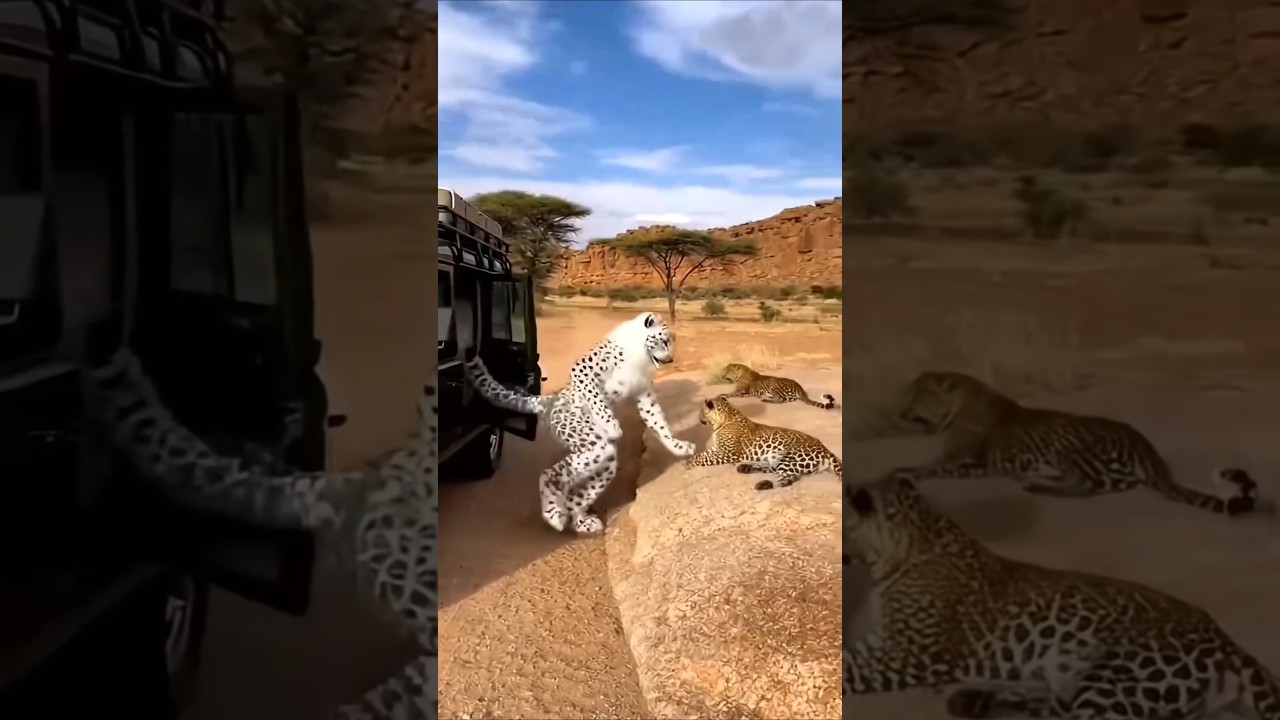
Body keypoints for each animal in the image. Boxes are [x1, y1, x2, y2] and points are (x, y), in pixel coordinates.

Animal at [464, 311, 695, 534]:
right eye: (664, 341)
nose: (670, 359)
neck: (639, 354)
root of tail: (549, 400)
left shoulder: (643, 392)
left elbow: (658, 422)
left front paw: (679, 447)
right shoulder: (583, 369)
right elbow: (596, 398)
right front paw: (612, 426)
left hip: (603, 460)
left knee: (577, 496)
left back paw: (581, 522)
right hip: (589, 441)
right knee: (549, 474)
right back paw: (553, 514)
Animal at [684, 394, 841, 490]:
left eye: (702, 411)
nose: (698, 419)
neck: (724, 418)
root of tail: (825, 448)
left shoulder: (726, 453)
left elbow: (702, 458)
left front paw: (687, 463)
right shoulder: (717, 449)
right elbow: (702, 455)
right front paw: (688, 459)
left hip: (791, 459)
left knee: (786, 479)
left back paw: (763, 484)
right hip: (777, 459)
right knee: (772, 469)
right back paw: (745, 468)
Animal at [843, 472, 1280, 720]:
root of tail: (1228, 642)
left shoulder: (910, 655)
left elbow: (849, 670)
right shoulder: (884, 642)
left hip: (1114, 683)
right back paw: (978, 700)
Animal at [888, 370, 1260, 517]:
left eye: (917, 395)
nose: (901, 412)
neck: (961, 404)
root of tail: (1145, 444)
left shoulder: (967, 462)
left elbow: (922, 468)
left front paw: (899, 472)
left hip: (1068, 444)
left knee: (1084, 488)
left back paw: (1036, 486)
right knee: (1092, 487)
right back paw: (1038, 479)